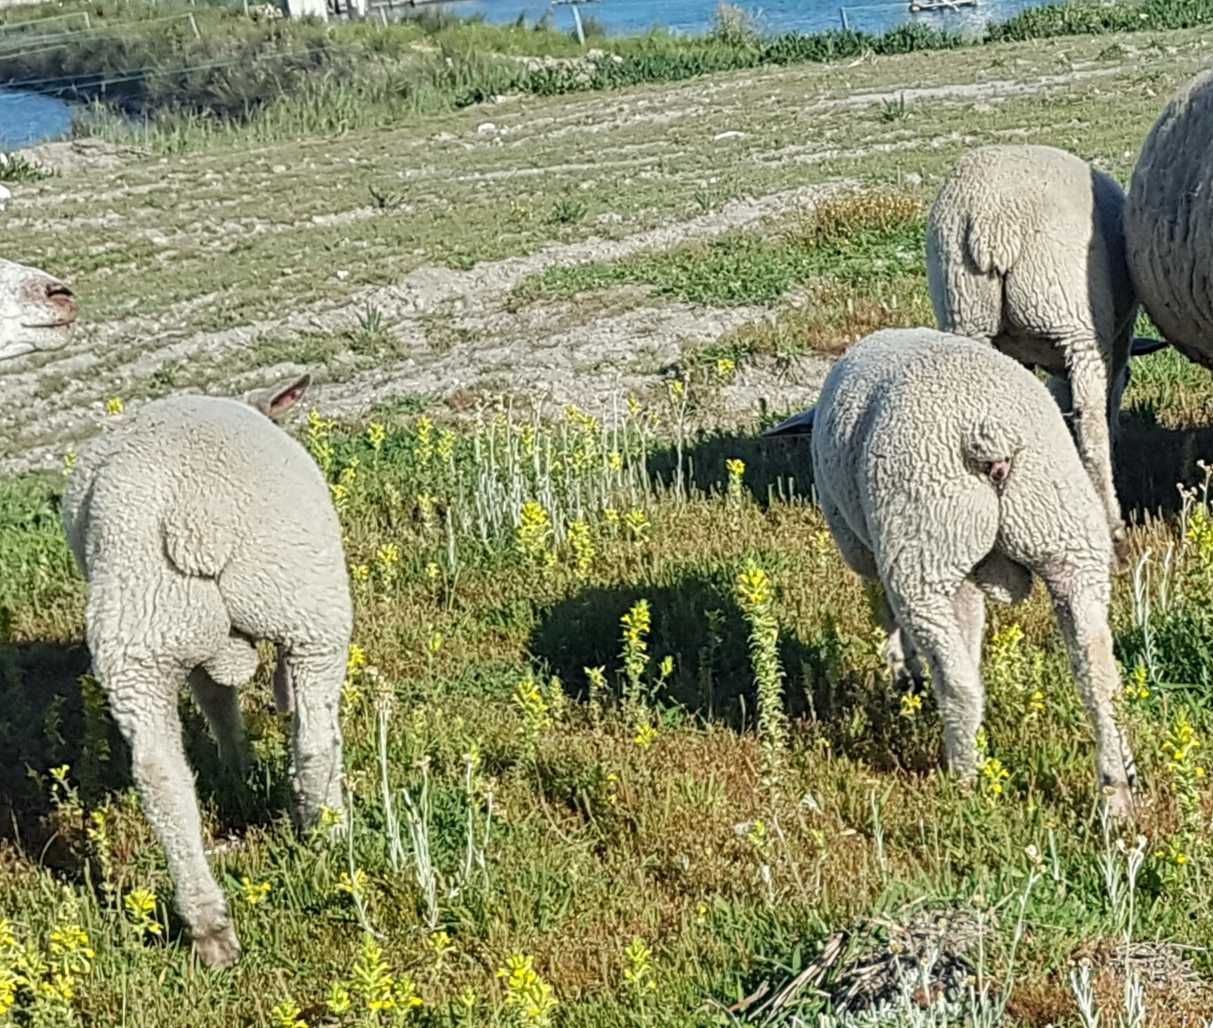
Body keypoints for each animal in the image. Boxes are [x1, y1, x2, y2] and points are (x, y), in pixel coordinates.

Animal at [62, 373, 354, 970]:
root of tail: (196, 519)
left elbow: (218, 698)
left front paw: (238, 772)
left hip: (139, 636)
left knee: (161, 777)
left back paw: (209, 928)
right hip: (309, 607)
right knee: (315, 739)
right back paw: (327, 837)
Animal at [766, 330, 1135, 820]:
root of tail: (988, 432)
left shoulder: (870, 550)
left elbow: (884, 613)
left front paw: (902, 675)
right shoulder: (966, 575)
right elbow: (970, 626)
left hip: (922, 547)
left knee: (956, 678)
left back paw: (965, 778)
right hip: (1064, 535)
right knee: (1098, 673)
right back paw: (1118, 790)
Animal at [921, 142, 1149, 563]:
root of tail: (992, 218)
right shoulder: (1118, 337)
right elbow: (1108, 403)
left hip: (965, 311)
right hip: (1072, 317)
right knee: (1091, 428)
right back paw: (1113, 531)